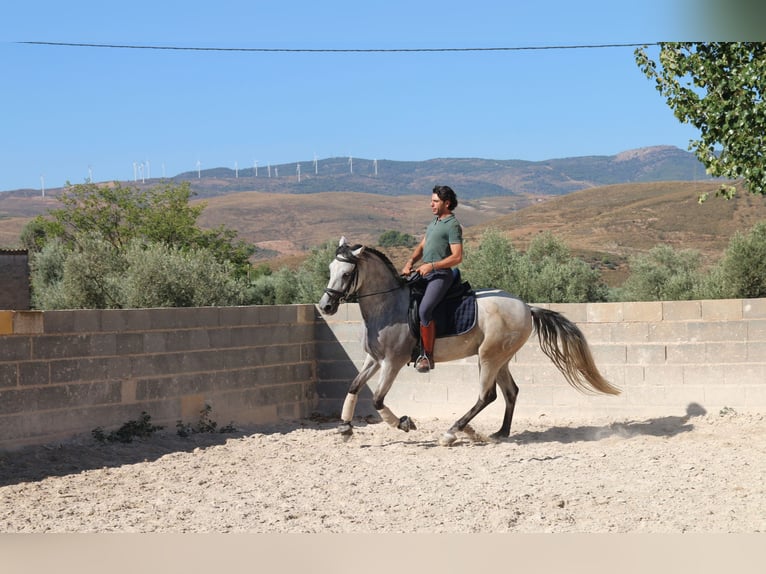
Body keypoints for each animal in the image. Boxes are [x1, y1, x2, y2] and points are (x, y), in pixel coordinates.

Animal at [317, 236, 620, 446]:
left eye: (346, 274)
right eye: (330, 269)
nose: (325, 307)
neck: (388, 306)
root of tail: (526, 307)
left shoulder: (393, 362)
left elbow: (378, 400)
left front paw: (404, 423)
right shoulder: (375, 359)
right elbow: (354, 387)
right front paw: (345, 428)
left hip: (489, 357)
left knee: (487, 396)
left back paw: (454, 432)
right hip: (500, 359)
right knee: (510, 392)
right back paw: (498, 433)